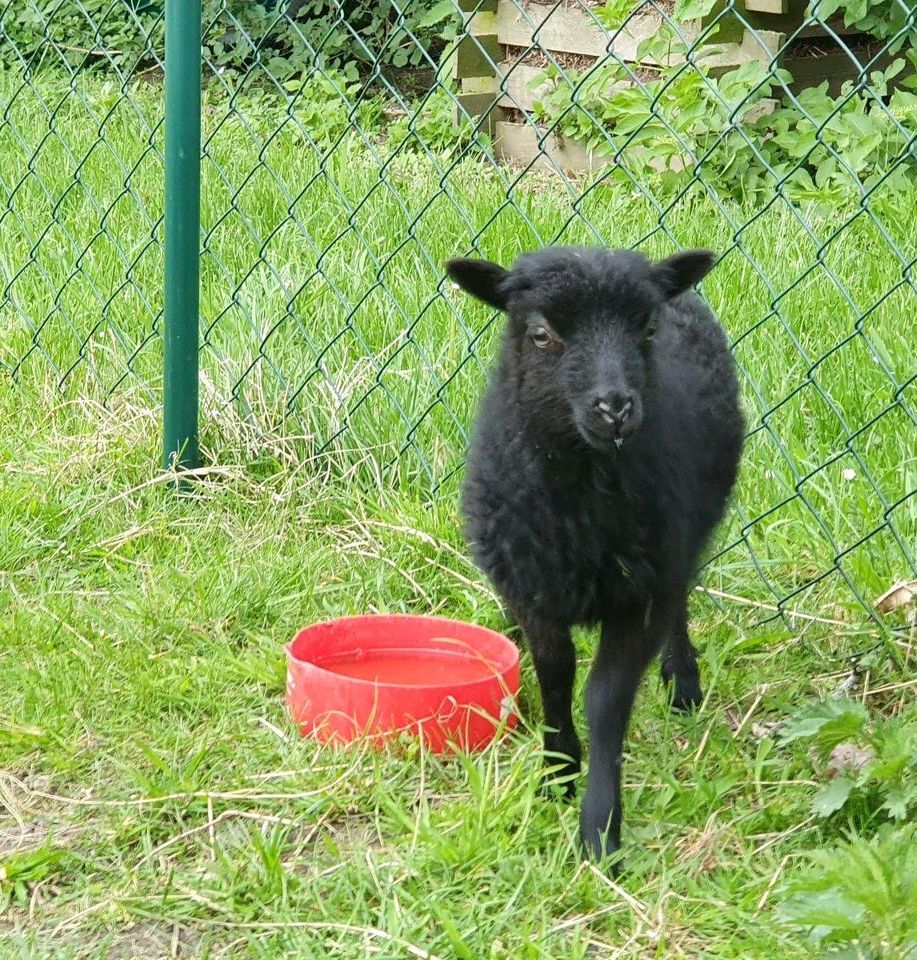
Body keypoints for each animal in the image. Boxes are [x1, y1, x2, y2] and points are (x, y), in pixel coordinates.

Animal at [446, 244, 744, 868]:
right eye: (541, 334)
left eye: (647, 329)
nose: (615, 408)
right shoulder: (532, 586)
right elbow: (555, 673)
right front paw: (557, 773)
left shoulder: (640, 591)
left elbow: (606, 700)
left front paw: (600, 831)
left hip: (678, 537)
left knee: (681, 596)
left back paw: (683, 679)